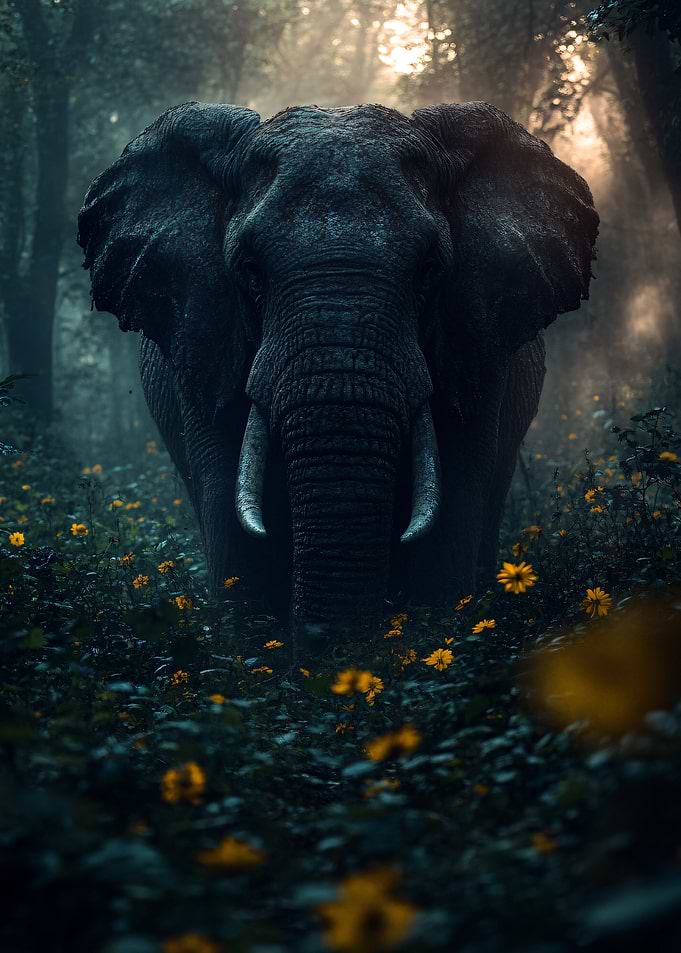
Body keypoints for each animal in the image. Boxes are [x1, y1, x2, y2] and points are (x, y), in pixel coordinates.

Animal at [77, 100, 598, 640]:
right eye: (250, 269)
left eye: (428, 269)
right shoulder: (203, 345)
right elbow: (233, 525)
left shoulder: (476, 345)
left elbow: (452, 514)